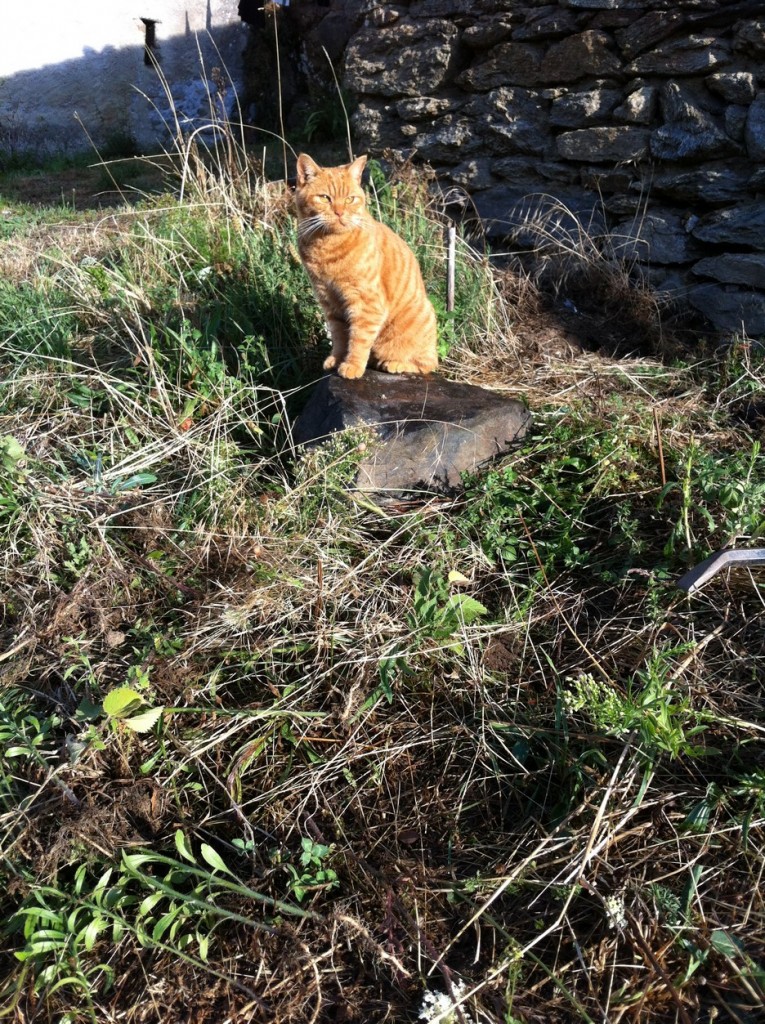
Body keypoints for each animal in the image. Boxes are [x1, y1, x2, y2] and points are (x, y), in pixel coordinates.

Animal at [292, 149, 436, 378]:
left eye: (350, 199)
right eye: (325, 198)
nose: (340, 212)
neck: (327, 246)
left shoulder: (366, 304)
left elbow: (358, 339)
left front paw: (352, 365)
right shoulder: (330, 302)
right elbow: (340, 337)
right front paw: (336, 359)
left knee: (428, 364)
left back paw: (394, 364)